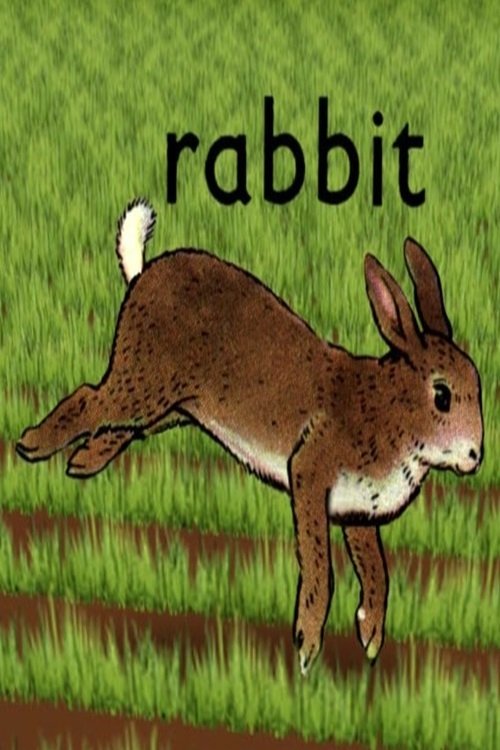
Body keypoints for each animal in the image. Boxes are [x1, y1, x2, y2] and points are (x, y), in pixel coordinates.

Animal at [16, 198, 484, 675]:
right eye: (442, 396)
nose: (474, 455)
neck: (390, 410)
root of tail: (144, 274)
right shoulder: (309, 475)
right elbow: (321, 568)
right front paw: (306, 650)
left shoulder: (358, 511)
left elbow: (377, 572)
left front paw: (370, 639)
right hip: (143, 383)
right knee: (89, 398)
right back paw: (31, 445)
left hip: (169, 405)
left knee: (121, 424)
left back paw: (82, 461)